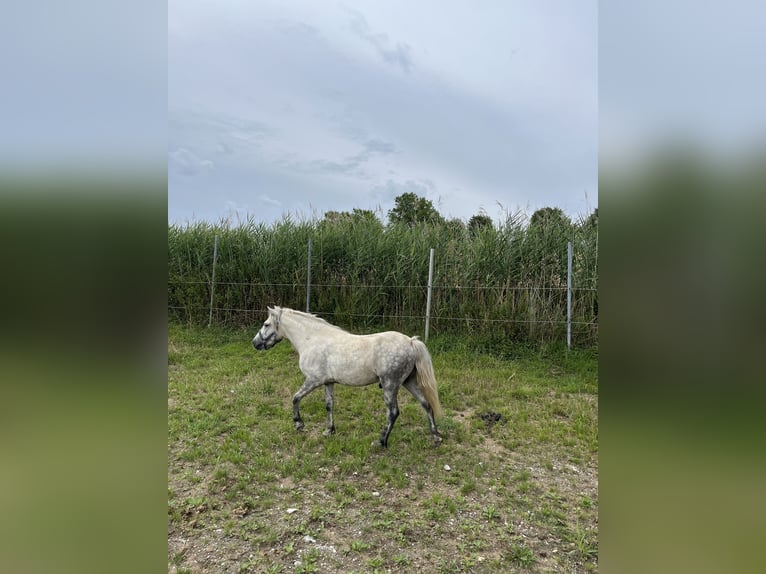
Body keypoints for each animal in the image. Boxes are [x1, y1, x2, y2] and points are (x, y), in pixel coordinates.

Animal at [252, 306, 443, 448]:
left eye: (266, 324)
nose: (255, 343)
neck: (312, 340)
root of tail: (410, 342)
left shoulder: (314, 380)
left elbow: (295, 398)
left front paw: (299, 424)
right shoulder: (328, 382)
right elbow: (329, 405)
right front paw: (329, 430)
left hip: (390, 385)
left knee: (393, 412)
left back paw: (381, 441)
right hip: (407, 382)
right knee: (426, 404)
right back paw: (436, 436)